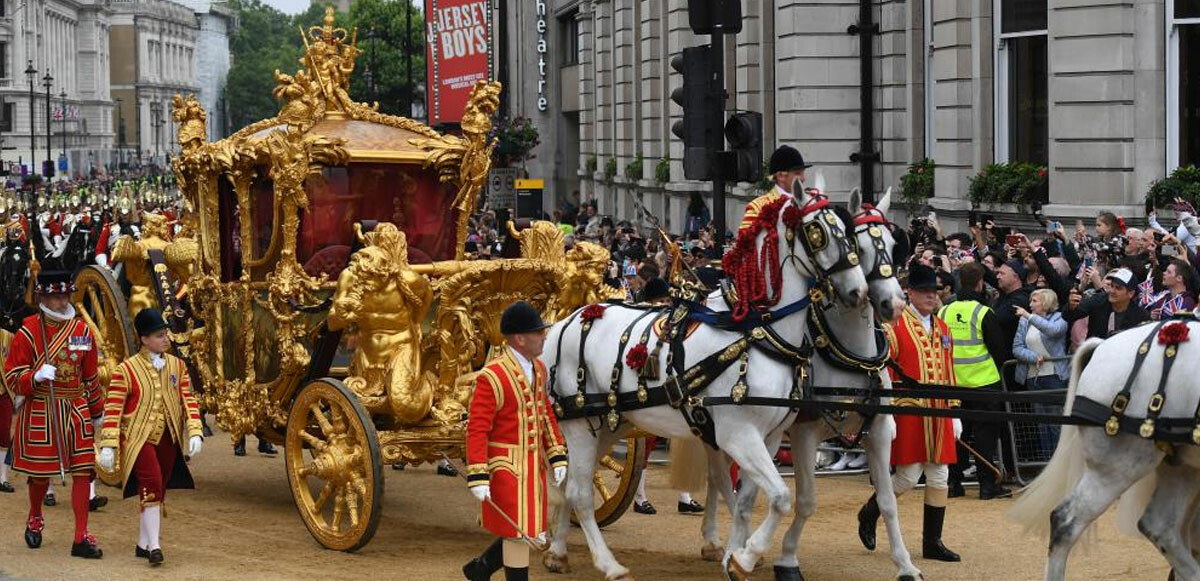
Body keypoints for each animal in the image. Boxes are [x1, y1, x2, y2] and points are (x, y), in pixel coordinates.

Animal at [547, 182, 873, 581]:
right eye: (818, 232)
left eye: (850, 232)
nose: (858, 292)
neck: (756, 334)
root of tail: (565, 321)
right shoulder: (738, 434)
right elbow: (780, 497)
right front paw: (743, 556)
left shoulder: (768, 436)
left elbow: (749, 499)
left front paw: (736, 553)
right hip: (579, 424)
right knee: (579, 492)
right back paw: (608, 563)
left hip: (609, 425)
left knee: (573, 483)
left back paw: (558, 552)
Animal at [720, 188, 916, 578]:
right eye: (859, 245)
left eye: (892, 243)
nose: (894, 303)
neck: (849, 354)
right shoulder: (805, 431)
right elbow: (807, 500)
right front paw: (787, 558)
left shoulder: (879, 429)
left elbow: (888, 500)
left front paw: (905, 564)